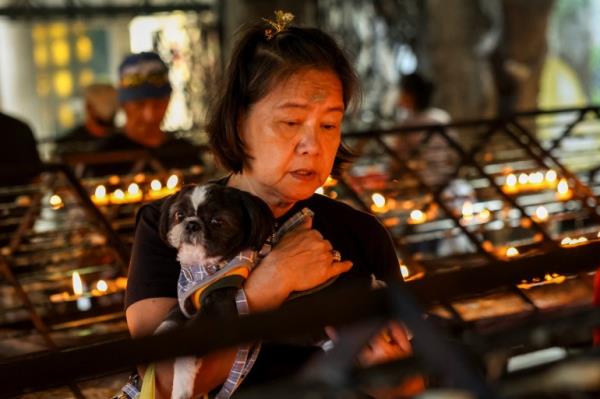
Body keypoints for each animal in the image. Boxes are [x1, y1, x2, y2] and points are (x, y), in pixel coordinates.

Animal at [155, 184, 276, 399]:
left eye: (217, 221)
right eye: (179, 214)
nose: (191, 224)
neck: (202, 268)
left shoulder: (219, 307)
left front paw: (181, 387)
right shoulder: (184, 303)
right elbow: (168, 321)